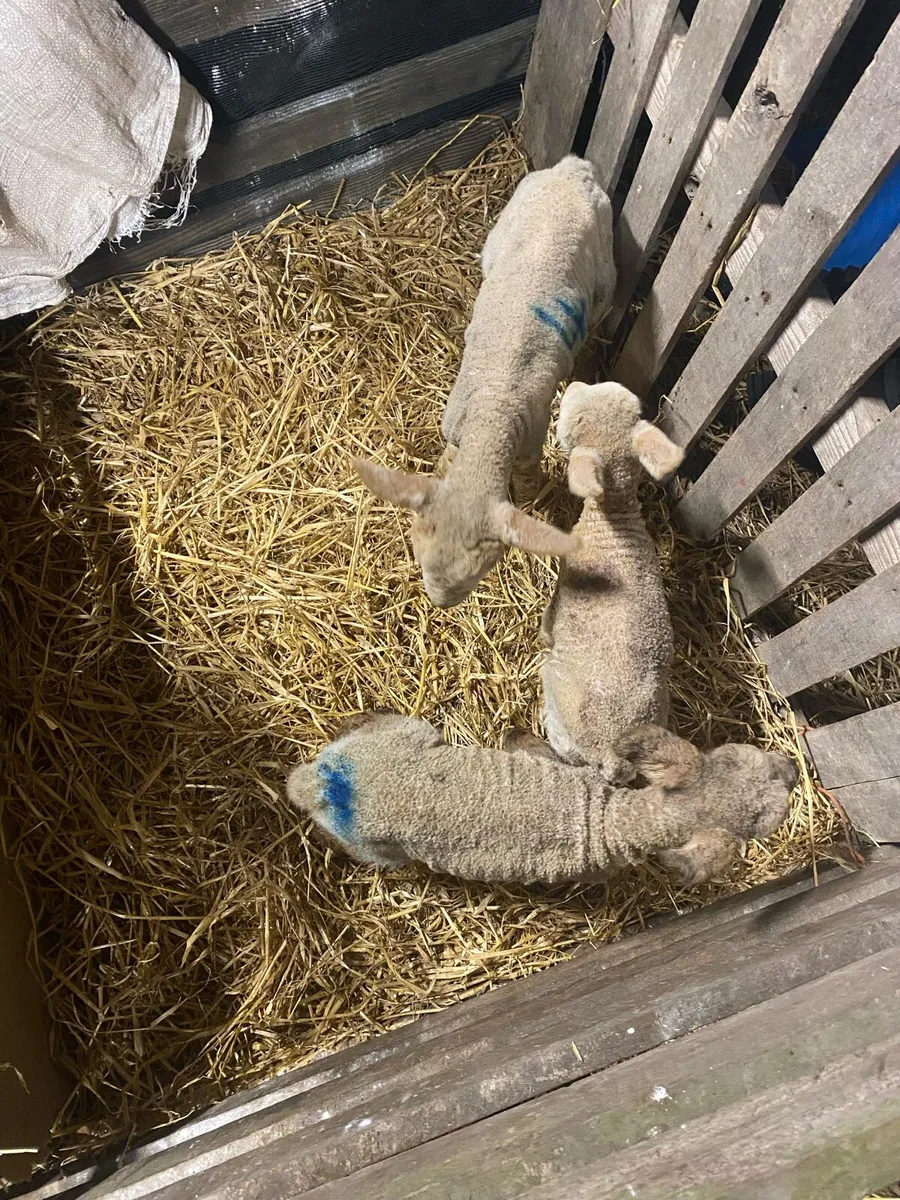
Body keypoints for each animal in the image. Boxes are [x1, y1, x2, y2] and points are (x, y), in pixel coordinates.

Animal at [286, 712, 796, 886]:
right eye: (772, 821)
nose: (792, 768)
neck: (608, 820)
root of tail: (323, 782)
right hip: (375, 849)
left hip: (394, 736)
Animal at [353, 155, 616, 608]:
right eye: (417, 551)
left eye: (477, 574)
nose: (438, 603)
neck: (493, 412)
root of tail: (574, 168)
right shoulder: (456, 426)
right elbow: (445, 463)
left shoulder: (529, 441)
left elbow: (526, 486)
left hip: (606, 273)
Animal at [540, 381, 685, 780]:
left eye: (575, 421)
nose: (574, 384)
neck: (613, 522)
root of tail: (610, 752)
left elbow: (550, 616)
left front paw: (543, 631)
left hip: (555, 690)